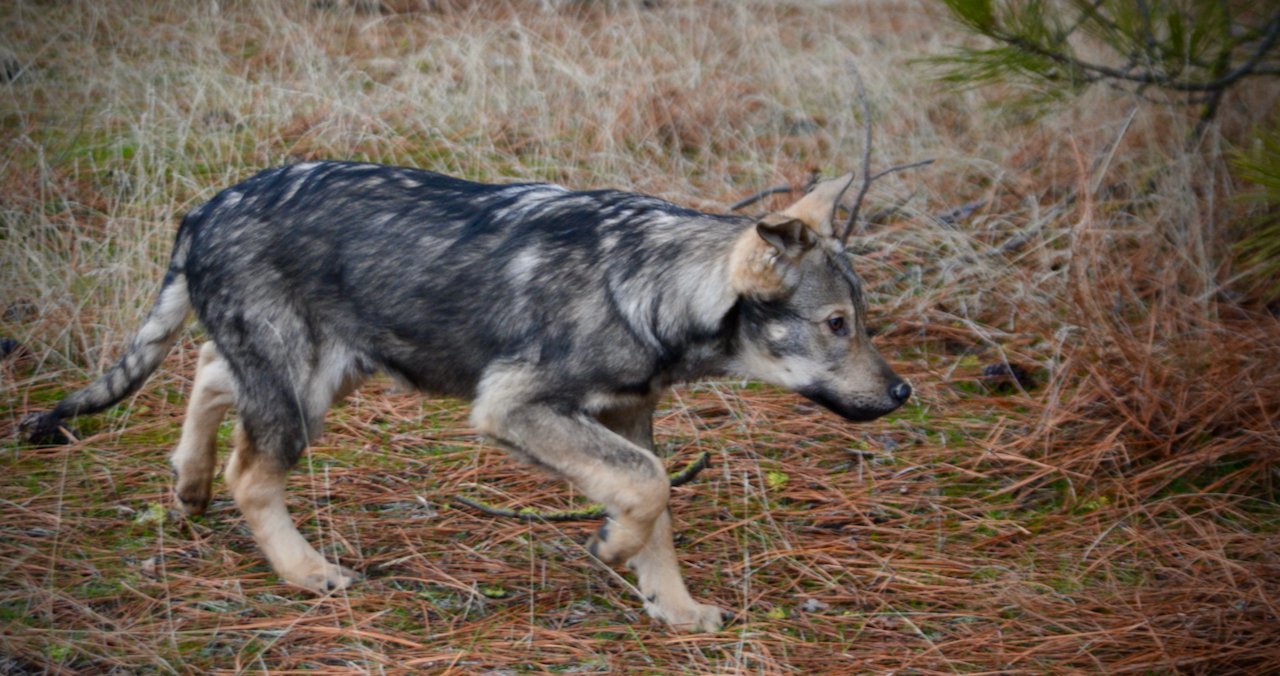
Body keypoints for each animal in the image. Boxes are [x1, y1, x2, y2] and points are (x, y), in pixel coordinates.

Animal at [24, 161, 916, 629]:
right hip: (306, 385)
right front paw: (612, 553)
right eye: (836, 324)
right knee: (252, 471)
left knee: (211, 371)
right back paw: (307, 573)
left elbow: (655, 502)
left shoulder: (630, 416)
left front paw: (673, 607)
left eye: (860, 322)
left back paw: (188, 482)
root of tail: (204, 208)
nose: (903, 391)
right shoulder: (515, 408)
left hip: (320, 370)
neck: (644, 285)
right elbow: (647, 488)